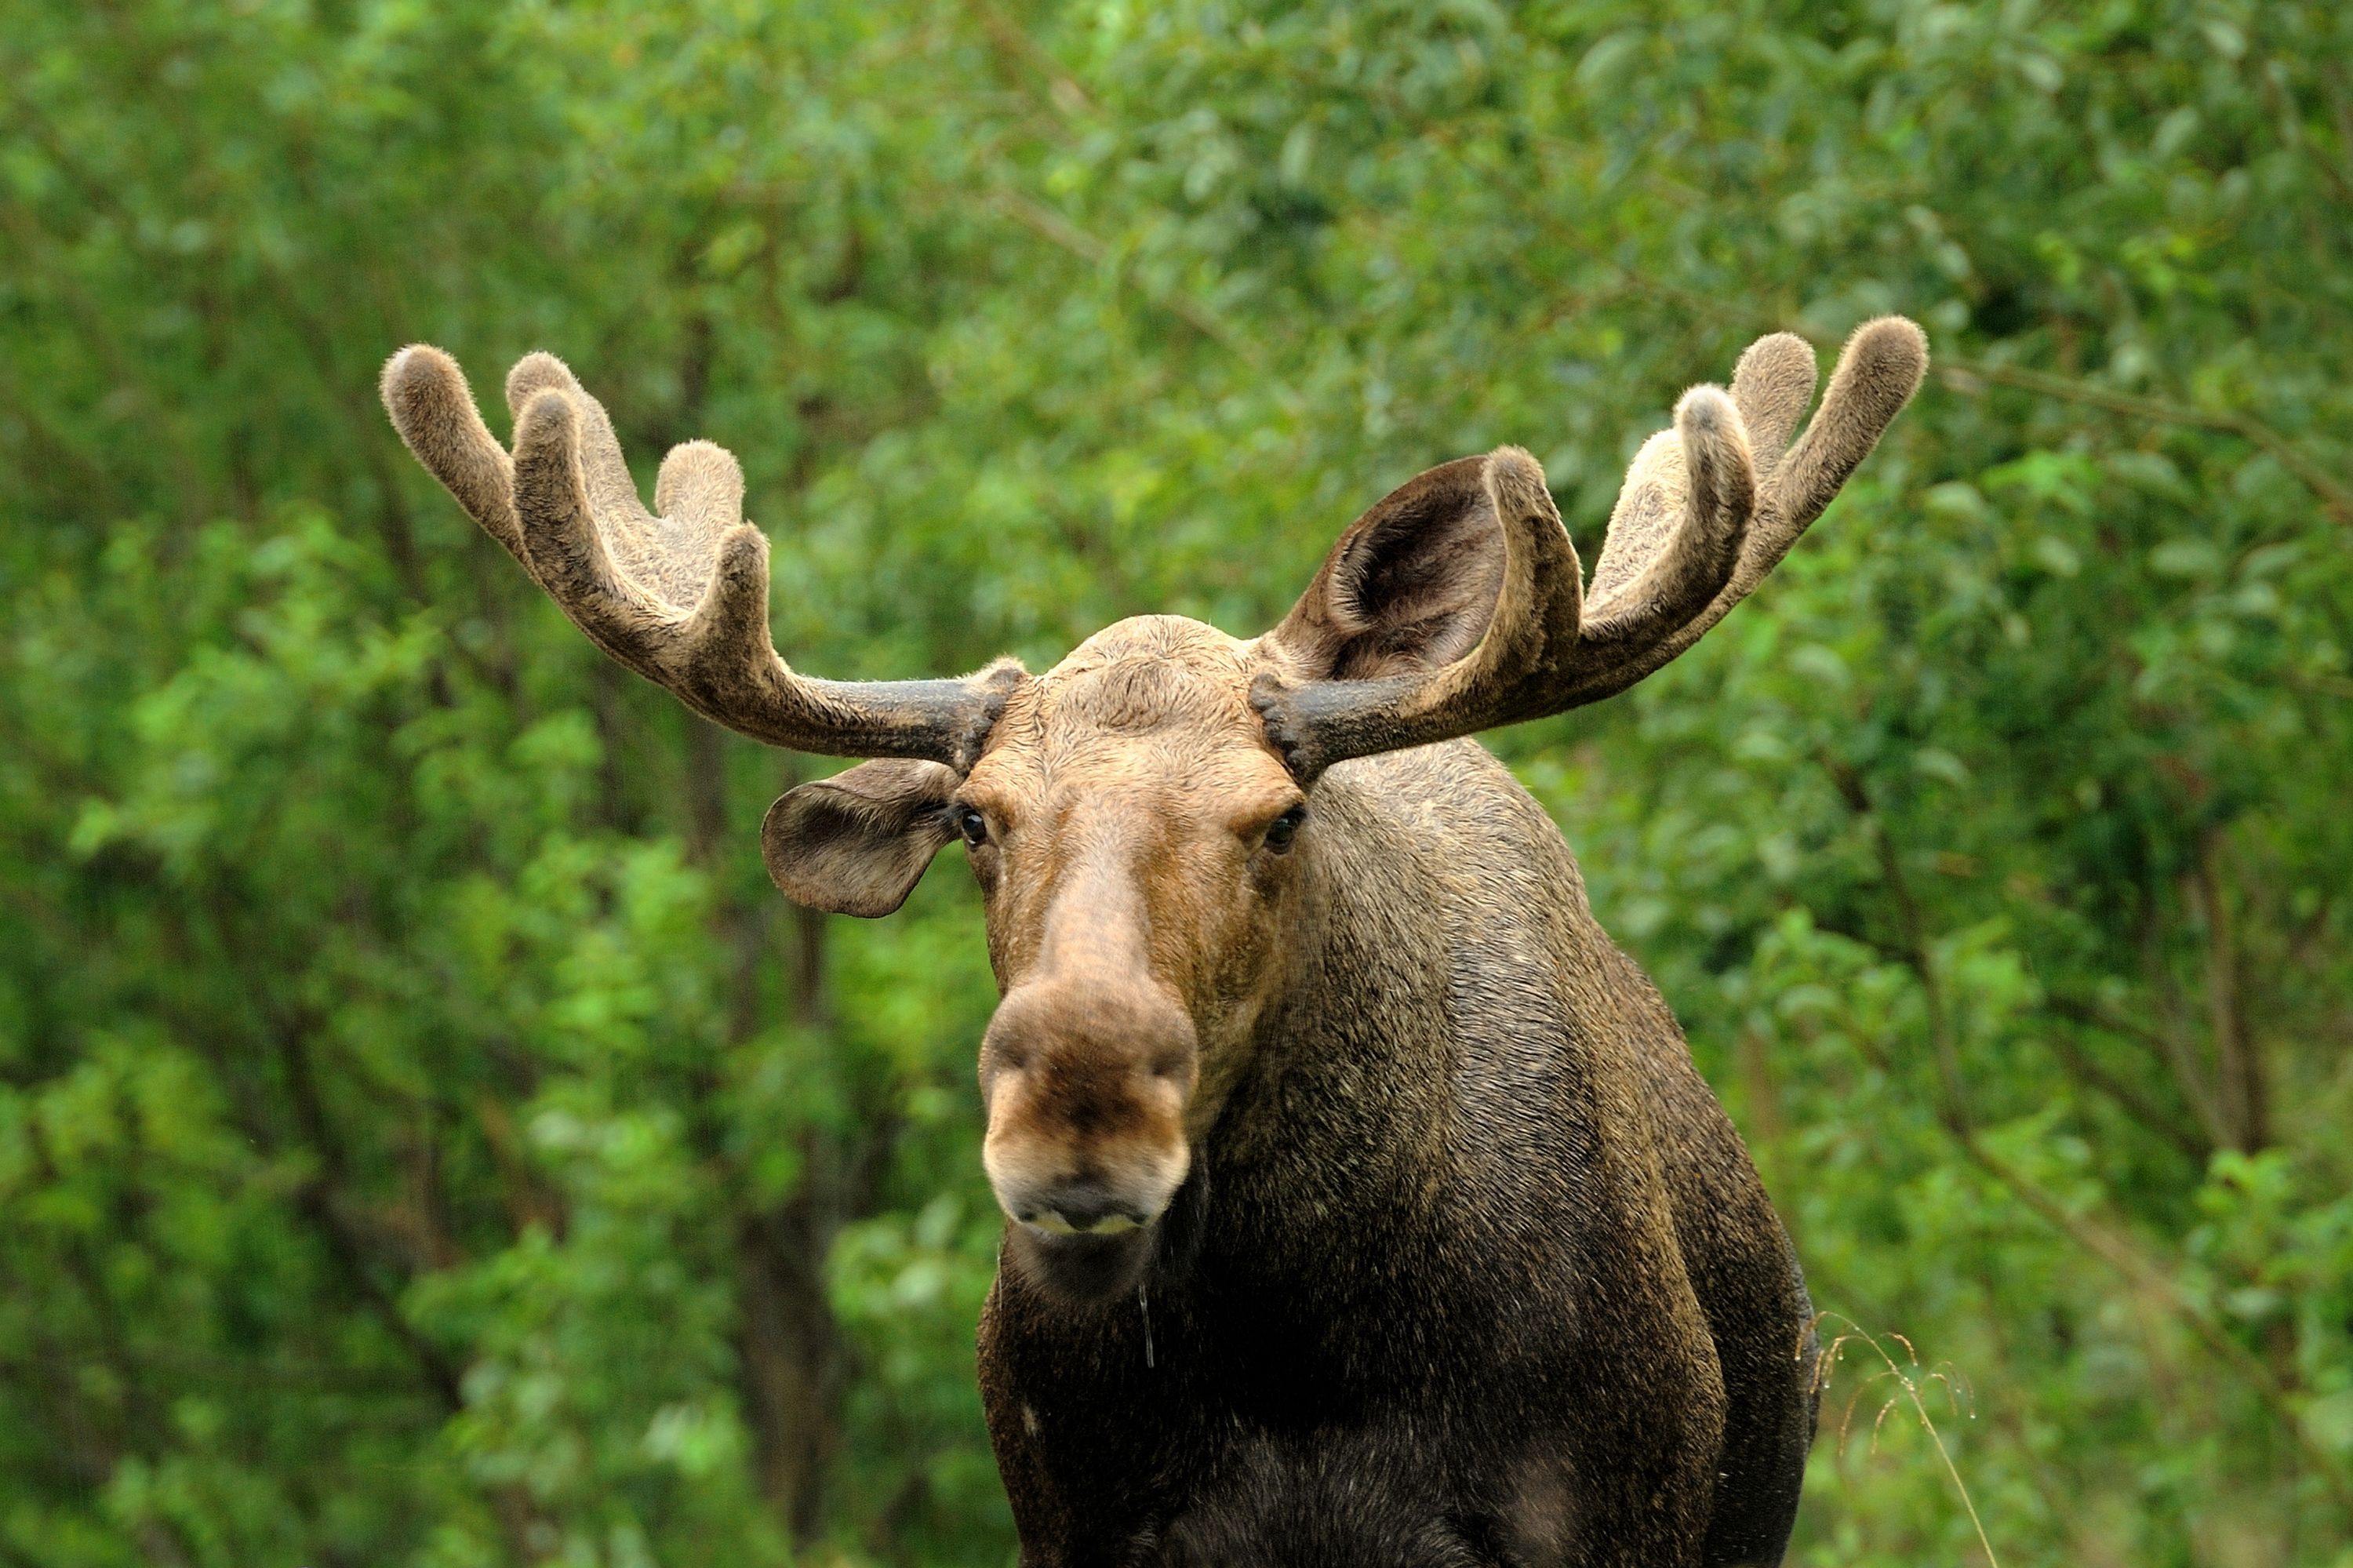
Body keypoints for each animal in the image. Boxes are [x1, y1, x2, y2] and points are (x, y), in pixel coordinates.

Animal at [381, 311, 1929, 1553]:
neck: (1303, 1361)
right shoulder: (1083, 1524)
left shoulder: (1613, 1510)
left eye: (1282, 817)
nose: (1084, 1104)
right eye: (975, 819)